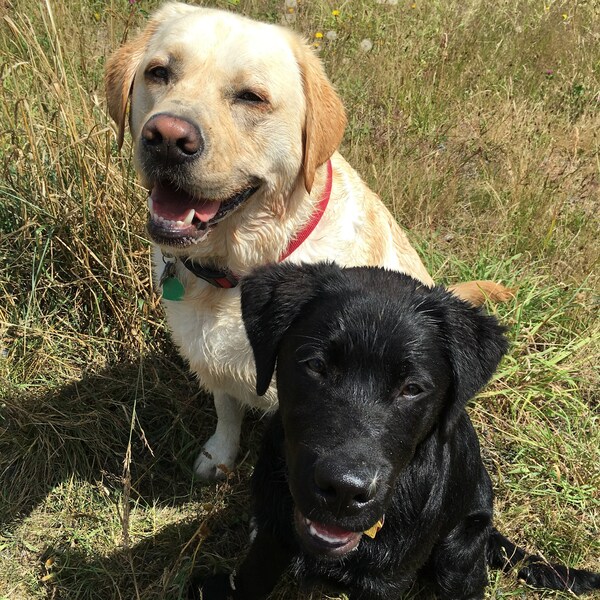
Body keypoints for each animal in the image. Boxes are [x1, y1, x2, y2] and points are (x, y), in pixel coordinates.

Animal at [193, 262, 600, 600]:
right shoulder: (270, 536)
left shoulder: (386, 582)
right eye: (315, 365)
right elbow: (251, 578)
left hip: (459, 551)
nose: (344, 490)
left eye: (412, 389)